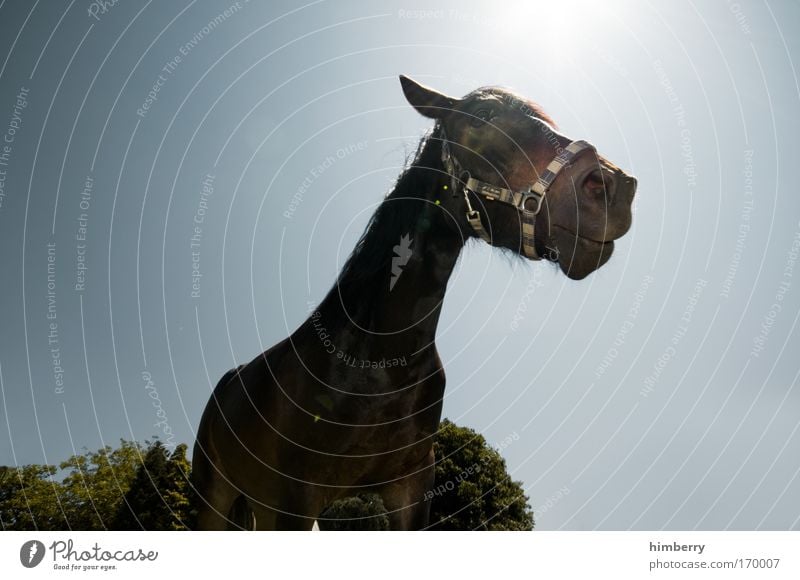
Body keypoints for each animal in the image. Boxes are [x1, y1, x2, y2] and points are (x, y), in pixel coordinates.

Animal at [191, 76, 636, 532]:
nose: (614, 187)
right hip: (215, 499)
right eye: (485, 118)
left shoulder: (411, 487)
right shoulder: (293, 501)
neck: (375, 356)